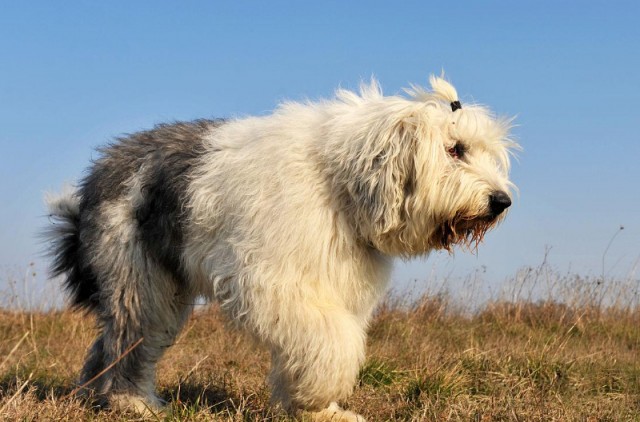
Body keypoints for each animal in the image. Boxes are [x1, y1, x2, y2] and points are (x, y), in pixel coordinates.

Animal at [43, 74, 516, 420]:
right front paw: (319, 399)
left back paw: (94, 395)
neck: (339, 182)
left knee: (110, 341)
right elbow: (330, 338)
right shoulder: (273, 280)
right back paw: (132, 402)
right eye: (455, 149)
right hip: (138, 275)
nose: (501, 202)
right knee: (131, 336)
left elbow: (323, 339)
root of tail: (100, 171)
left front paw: (319, 410)